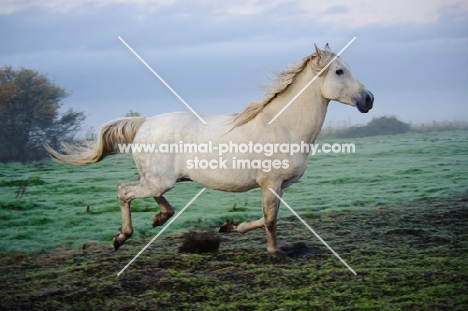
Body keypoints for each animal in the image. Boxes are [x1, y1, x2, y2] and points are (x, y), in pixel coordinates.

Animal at [46, 44, 372, 254]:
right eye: (339, 71)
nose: (368, 99)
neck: (283, 126)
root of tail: (145, 122)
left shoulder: (279, 186)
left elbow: (266, 218)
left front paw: (229, 227)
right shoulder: (271, 183)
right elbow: (270, 220)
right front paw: (273, 251)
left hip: (158, 179)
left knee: (150, 195)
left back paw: (159, 218)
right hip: (158, 179)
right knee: (123, 190)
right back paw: (121, 238)